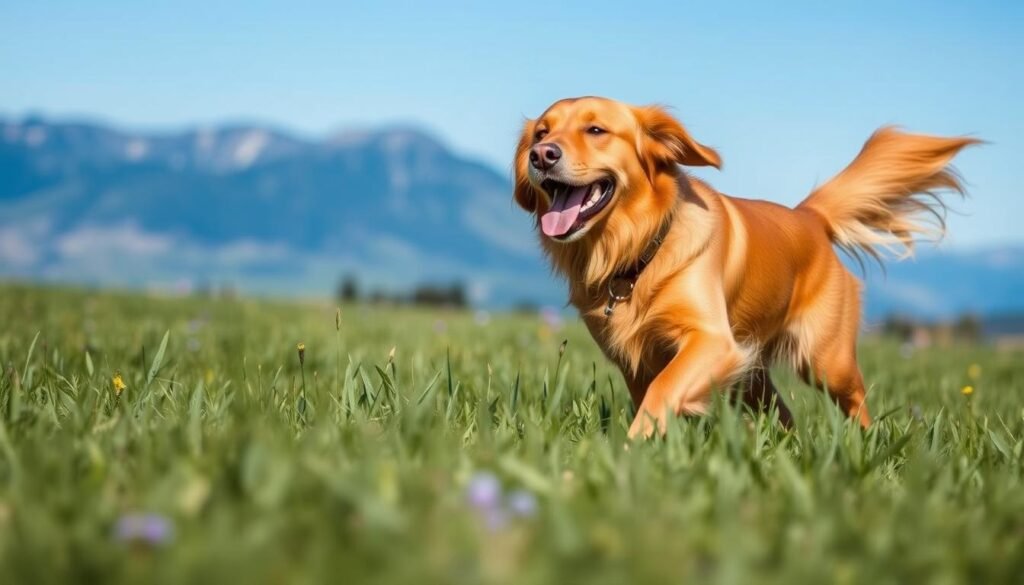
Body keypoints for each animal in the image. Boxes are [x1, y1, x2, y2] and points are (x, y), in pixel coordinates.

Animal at [512, 96, 974, 436]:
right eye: (542, 132)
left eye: (596, 130)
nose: (541, 154)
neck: (638, 251)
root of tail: (810, 217)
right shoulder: (635, 360)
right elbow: (653, 395)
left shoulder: (713, 340)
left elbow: (663, 390)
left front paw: (631, 450)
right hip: (752, 373)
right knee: (785, 414)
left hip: (825, 361)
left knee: (856, 402)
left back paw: (865, 444)